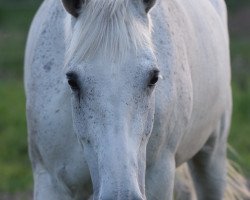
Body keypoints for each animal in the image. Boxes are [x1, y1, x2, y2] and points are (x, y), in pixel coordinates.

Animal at [25, 0, 234, 199]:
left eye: (153, 77)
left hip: (212, 156)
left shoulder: (160, 177)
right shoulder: (50, 182)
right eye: (72, 81)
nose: (121, 194)